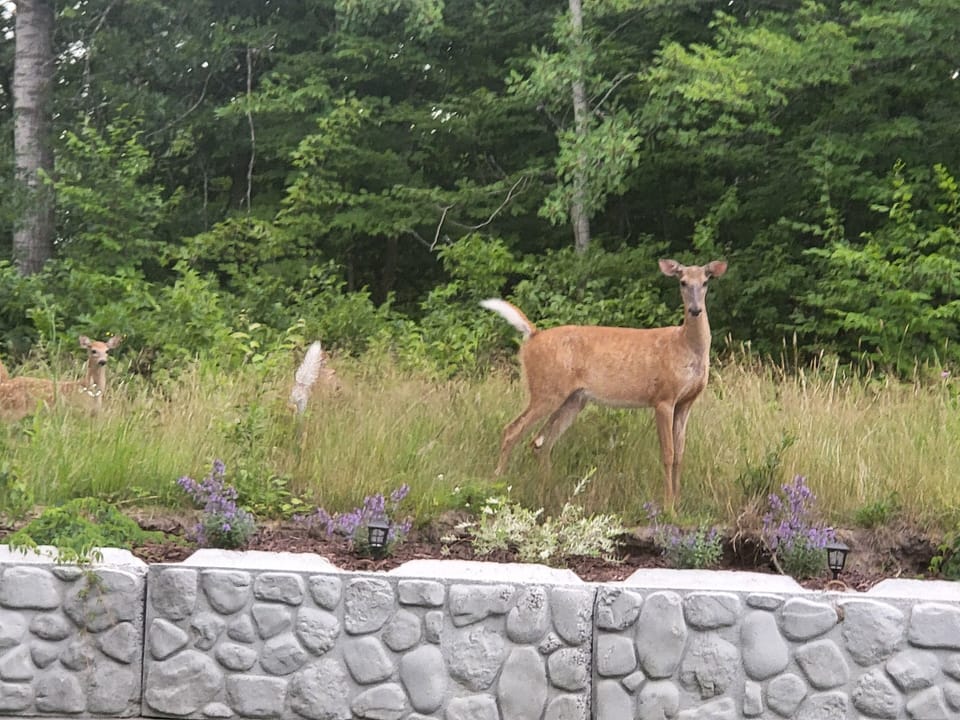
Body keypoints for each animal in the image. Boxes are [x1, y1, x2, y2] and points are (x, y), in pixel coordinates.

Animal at [481, 258, 728, 510]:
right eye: (682, 282)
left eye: (705, 281)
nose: (695, 310)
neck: (684, 345)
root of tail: (534, 334)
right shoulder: (663, 398)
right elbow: (667, 454)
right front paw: (669, 507)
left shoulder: (686, 402)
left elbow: (680, 454)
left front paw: (678, 502)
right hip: (546, 390)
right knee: (512, 430)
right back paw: (496, 482)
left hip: (574, 399)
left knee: (541, 442)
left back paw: (549, 492)